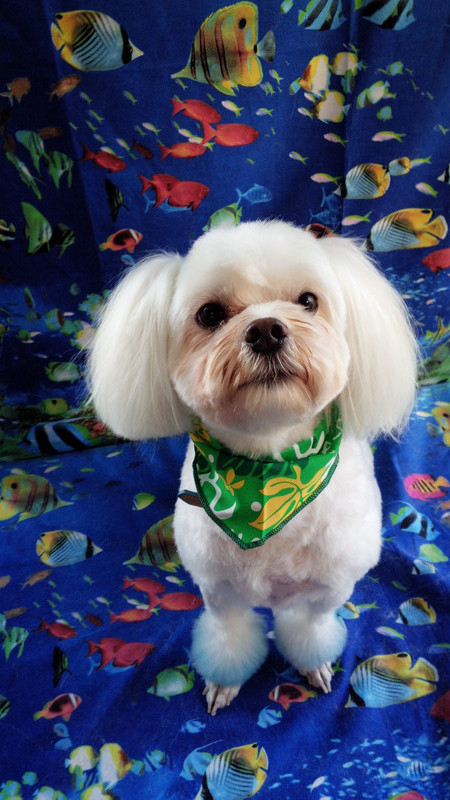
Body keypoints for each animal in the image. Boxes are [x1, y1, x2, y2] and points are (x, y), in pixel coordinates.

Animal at [88, 220, 418, 715]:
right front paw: (224, 680)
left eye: (308, 301)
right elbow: (229, 633)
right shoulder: (218, 588)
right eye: (209, 314)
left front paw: (314, 663)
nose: (265, 329)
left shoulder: (330, 585)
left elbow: (312, 625)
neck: (264, 472)